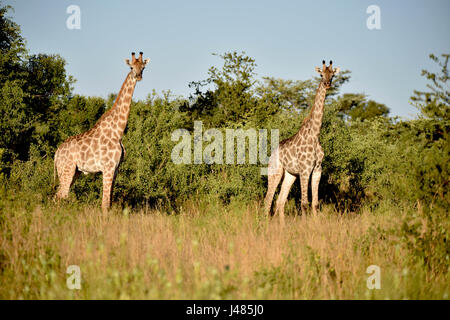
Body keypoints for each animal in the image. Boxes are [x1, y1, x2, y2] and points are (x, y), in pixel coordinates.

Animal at [53, 51, 150, 211]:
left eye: (143, 67)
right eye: (131, 67)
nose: (138, 76)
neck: (118, 131)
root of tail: (56, 154)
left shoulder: (116, 168)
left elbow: (109, 201)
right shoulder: (108, 167)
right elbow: (104, 204)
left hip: (75, 172)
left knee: (57, 196)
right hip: (67, 169)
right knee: (62, 195)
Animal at [264, 60, 342, 220]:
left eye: (332, 74)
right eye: (321, 74)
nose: (327, 84)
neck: (315, 134)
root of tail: (271, 154)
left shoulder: (317, 169)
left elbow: (315, 204)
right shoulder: (305, 170)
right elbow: (304, 203)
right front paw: (305, 224)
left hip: (290, 175)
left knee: (280, 201)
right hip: (275, 172)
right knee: (267, 200)